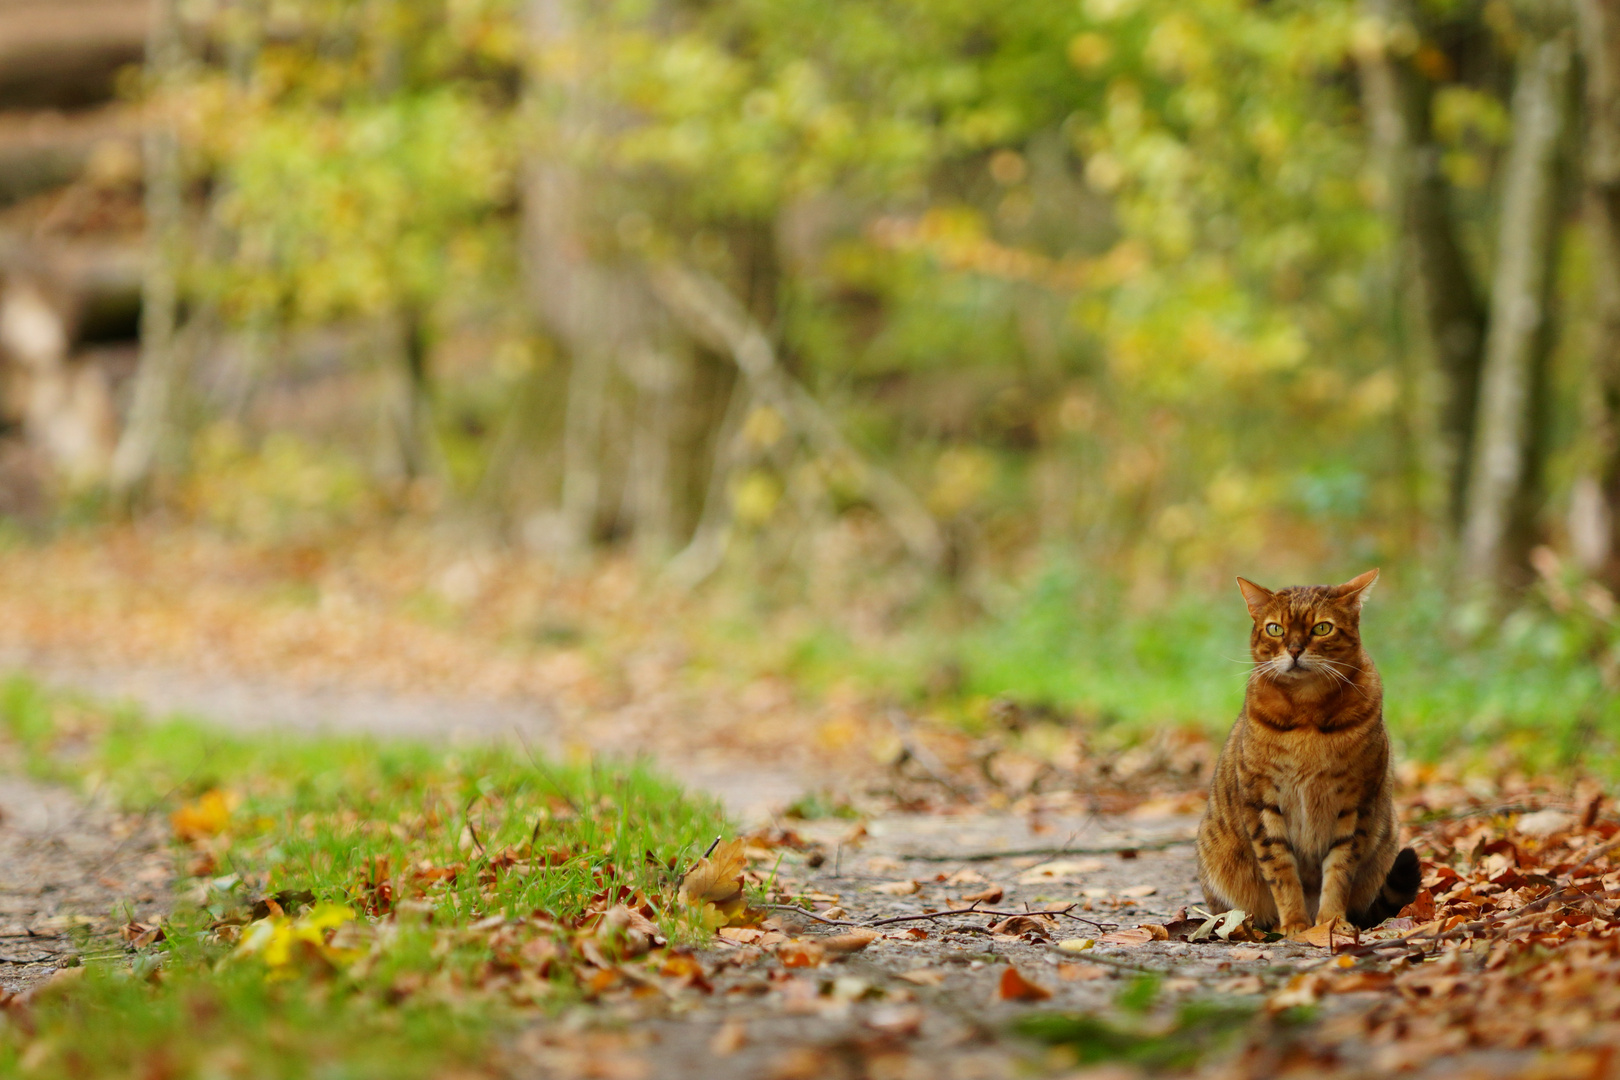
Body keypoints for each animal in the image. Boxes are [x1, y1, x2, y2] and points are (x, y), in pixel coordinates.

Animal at [1205, 569, 1419, 932]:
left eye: (1322, 628)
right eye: (1275, 628)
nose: (1294, 649)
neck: (1307, 715)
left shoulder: (1355, 803)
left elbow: (1339, 869)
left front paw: (1330, 922)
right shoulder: (1261, 802)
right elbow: (1280, 870)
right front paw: (1295, 923)